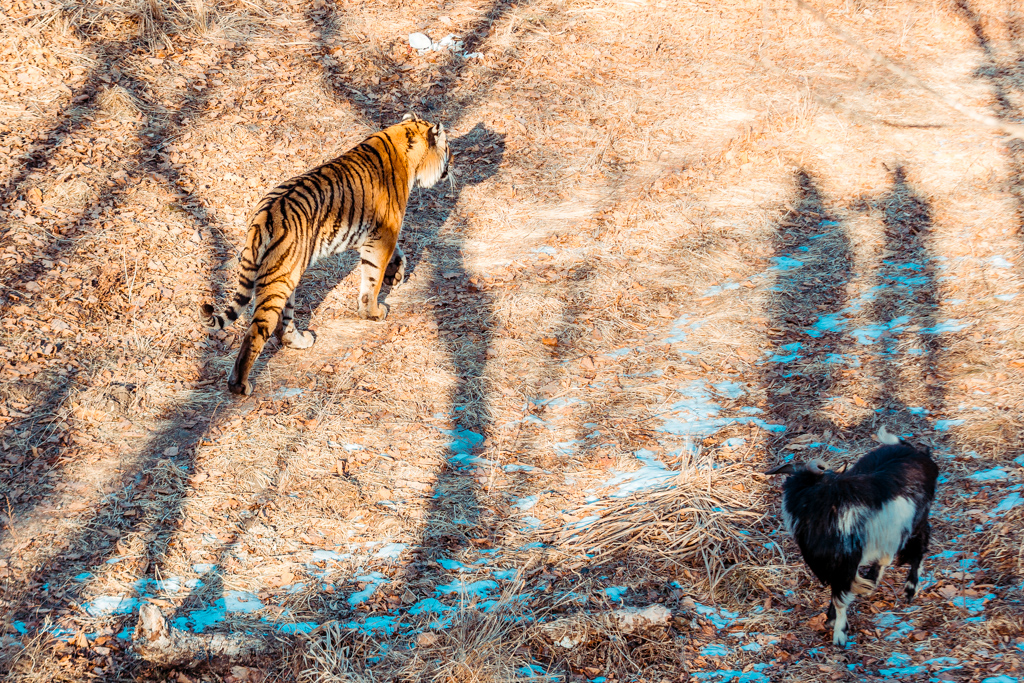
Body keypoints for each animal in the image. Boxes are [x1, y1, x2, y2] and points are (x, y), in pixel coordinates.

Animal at [201, 114, 450, 395]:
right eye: (448, 147)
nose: (451, 163)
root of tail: (263, 214)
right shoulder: (384, 234)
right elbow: (372, 280)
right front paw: (373, 313)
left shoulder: (375, 235)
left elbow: (395, 257)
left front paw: (395, 276)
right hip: (280, 279)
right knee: (257, 331)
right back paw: (239, 386)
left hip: (286, 274)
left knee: (284, 324)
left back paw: (300, 341)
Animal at [765, 428, 937, 647]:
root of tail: (916, 452)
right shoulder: (833, 566)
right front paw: (830, 619)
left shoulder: (843, 564)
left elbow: (840, 599)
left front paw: (839, 633)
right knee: (885, 558)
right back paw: (873, 581)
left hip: (916, 521)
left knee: (920, 547)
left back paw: (910, 590)